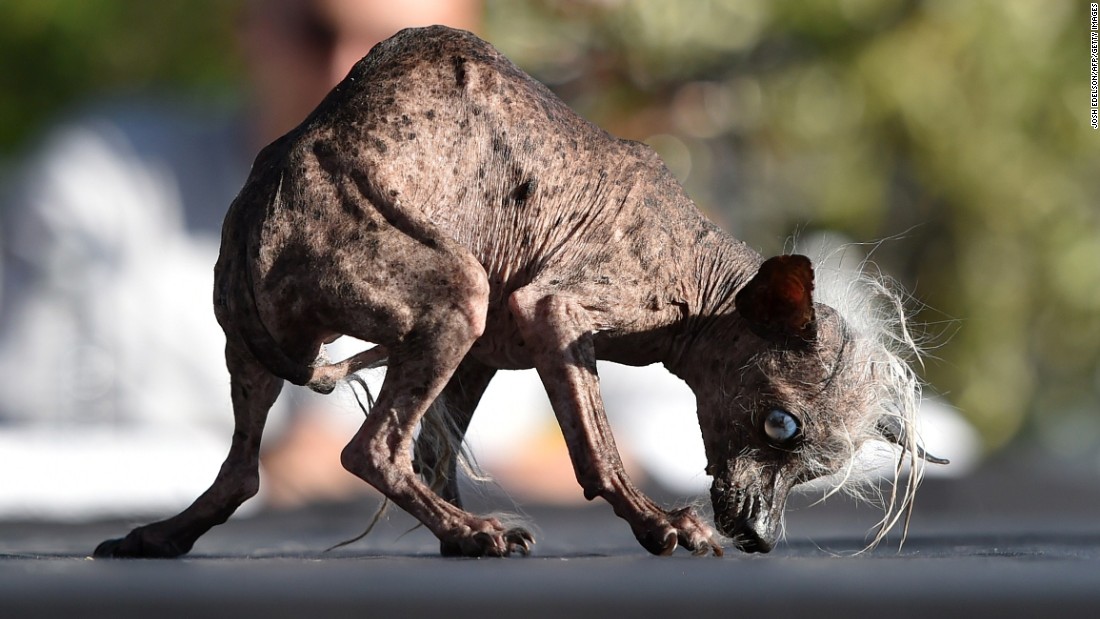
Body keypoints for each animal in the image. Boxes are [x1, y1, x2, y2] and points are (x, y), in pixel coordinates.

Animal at [92, 24, 946, 558]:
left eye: (820, 467)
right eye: (780, 425)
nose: (762, 536)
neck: (698, 277)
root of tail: (273, 181)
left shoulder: (487, 351)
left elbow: (436, 451)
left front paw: (455, 529)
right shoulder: (556, 312)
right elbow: (596, 452)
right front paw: (658, 524)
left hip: (276, 339)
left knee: (247, 468)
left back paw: (160, 535)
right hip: (456, 294)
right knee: (368, 448)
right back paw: (474, 529)